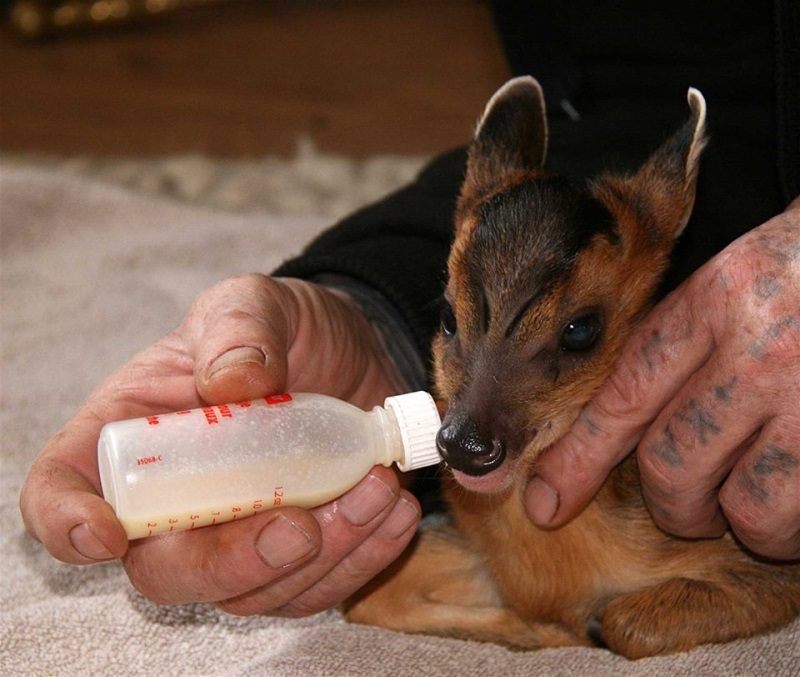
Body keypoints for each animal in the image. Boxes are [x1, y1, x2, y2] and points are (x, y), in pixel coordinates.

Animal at [346, 76, 800, 656]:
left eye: (581, 329)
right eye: (447, 315)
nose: (465, 446)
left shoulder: (765, 560)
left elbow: (621, 623)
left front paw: (577, 628)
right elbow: (367, 595)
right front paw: (543, 629)